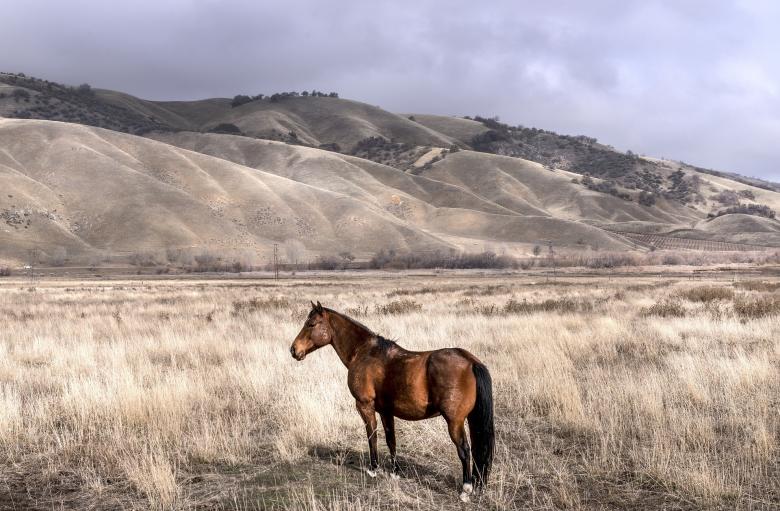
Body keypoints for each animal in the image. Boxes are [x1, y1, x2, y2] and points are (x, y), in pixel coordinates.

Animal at [289, 301, 494, 502]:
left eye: (311, 324)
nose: (293, 350)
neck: (364, 352)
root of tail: (471, 361)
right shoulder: (386, 411)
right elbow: (391, 440)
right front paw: (395, 472)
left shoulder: (365, 406)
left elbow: (372, 436)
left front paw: (374, 469)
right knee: (478, 449)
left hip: (454, 422)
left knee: (465, 450)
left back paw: (466, 489)